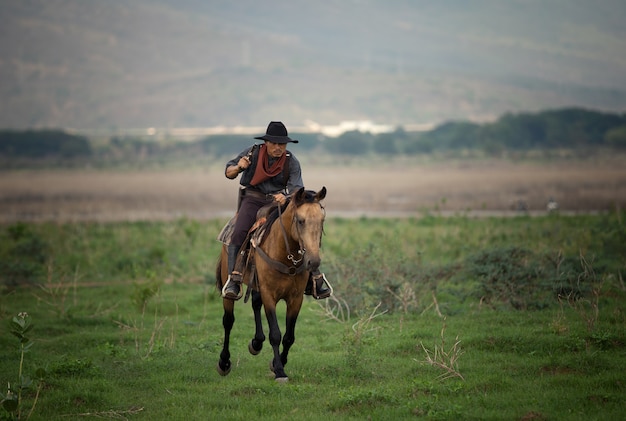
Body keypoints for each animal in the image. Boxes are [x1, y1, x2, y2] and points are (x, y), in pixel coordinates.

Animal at [216, 186, 326, 380]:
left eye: (322, 220)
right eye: (300, 221)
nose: (313, 262)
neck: (285, 257)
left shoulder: (296, 299)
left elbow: (289, 336)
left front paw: (277, 363)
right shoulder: (269, 295)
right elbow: (275, 333)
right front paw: (280, 372)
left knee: (255, 303)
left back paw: (256, 343)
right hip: (228, 286)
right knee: (228, 320)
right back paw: (224, 362)